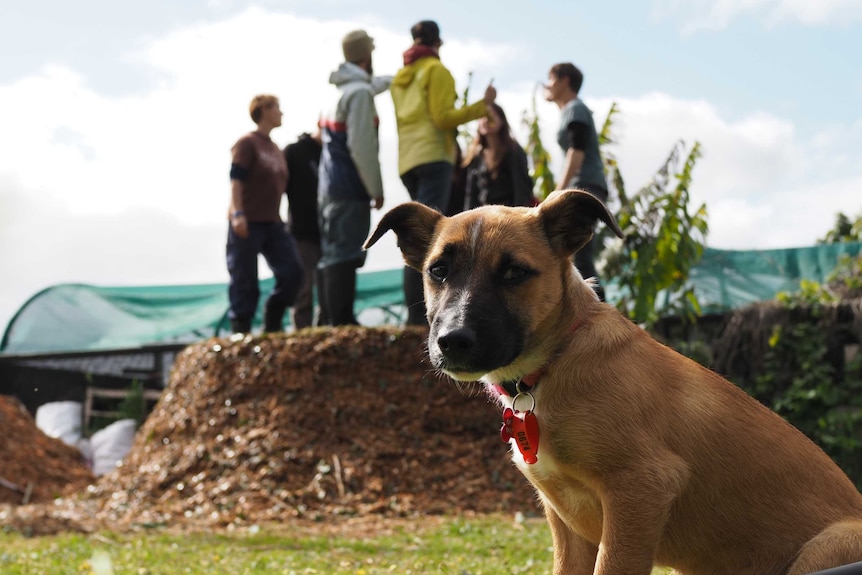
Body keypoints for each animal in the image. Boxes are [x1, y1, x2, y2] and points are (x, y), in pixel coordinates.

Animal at [366, 190, 862, 575]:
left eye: (515, 273)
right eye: (438, 271)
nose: (452, 341)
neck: (554, 362)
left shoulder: (640, 490)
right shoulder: (567, 523)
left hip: (825, 548)